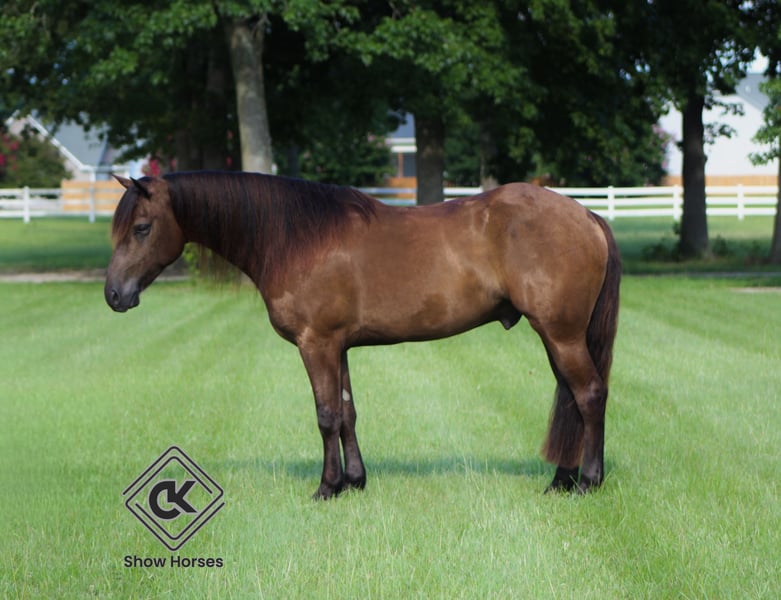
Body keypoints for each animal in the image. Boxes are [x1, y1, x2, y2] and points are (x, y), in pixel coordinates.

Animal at [105, 171, 620, 499]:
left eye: (142, 228)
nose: (113, 294)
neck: (295, 239)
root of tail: (587, 216)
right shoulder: (339, 347)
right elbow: (348, 413)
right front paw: (355, 481)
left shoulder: (316, 344)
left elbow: (326, 415)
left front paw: (327, 487)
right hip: (557, 337)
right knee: (572, 400)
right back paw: (560, 481)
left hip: (561, 334)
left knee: (589, 395)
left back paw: (588, 482)